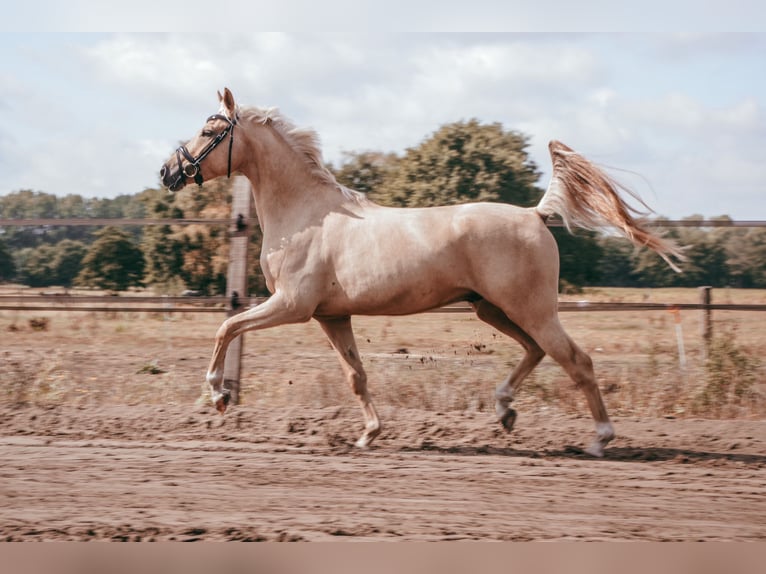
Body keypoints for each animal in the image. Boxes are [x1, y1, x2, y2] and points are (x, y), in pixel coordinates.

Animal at [160, 88, 684, 460]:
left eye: (208, 131)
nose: (167, 172)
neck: (307, 215)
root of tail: (535, 215)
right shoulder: (332, 316)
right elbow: (356, 376)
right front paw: (369, 435)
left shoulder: (292, 305)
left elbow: (227, 326)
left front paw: (218, 396)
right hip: (494, 310)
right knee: (536, 351)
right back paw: (505, 411)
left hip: (531, 309)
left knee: (576, 360)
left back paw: (599, 440)